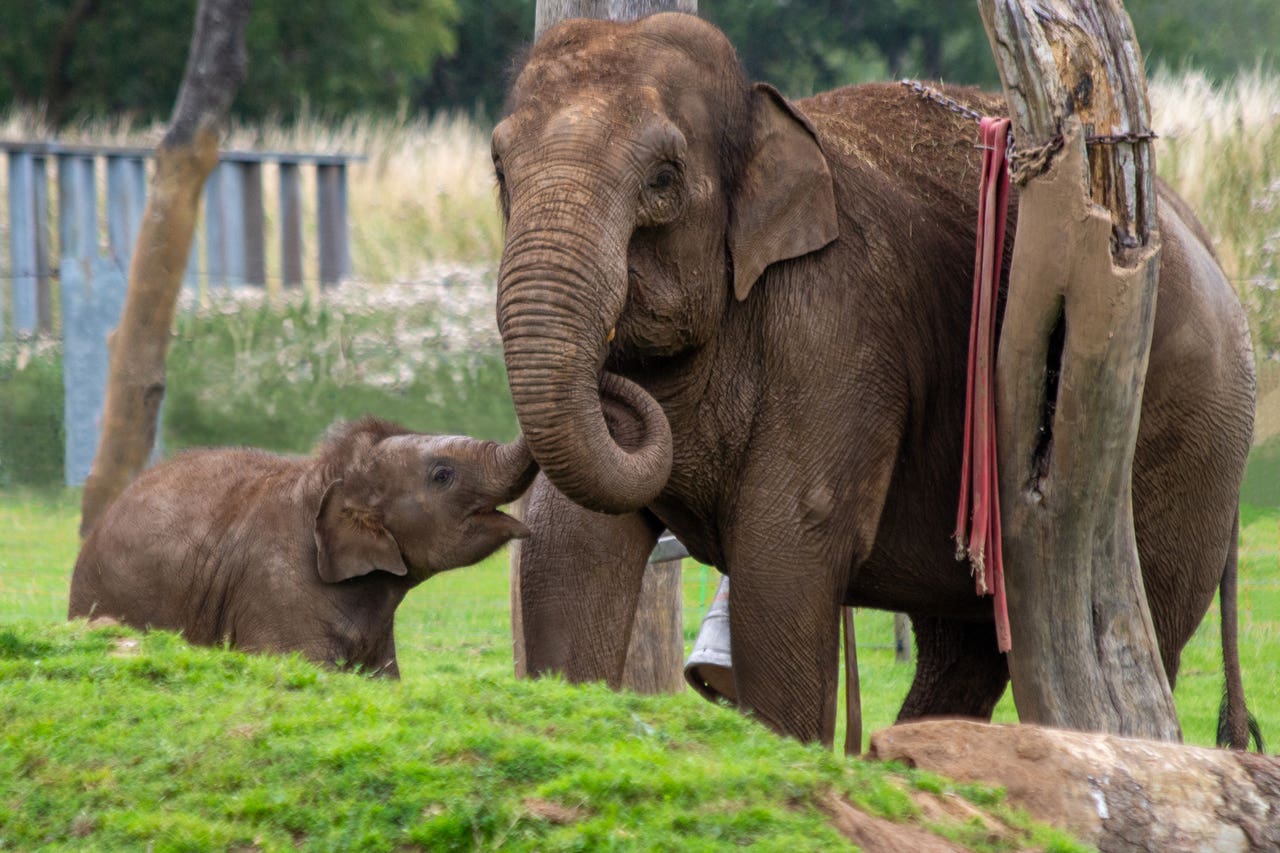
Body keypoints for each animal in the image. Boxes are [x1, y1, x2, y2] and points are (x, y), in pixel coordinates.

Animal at [492, 13, 1258, 747]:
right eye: (499, 168)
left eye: (663, 178)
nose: (615, 384)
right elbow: (568, 547)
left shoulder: (838, 331)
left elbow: (785, 558)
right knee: (963, 650)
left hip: (1178, 441)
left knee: (1143, 628)